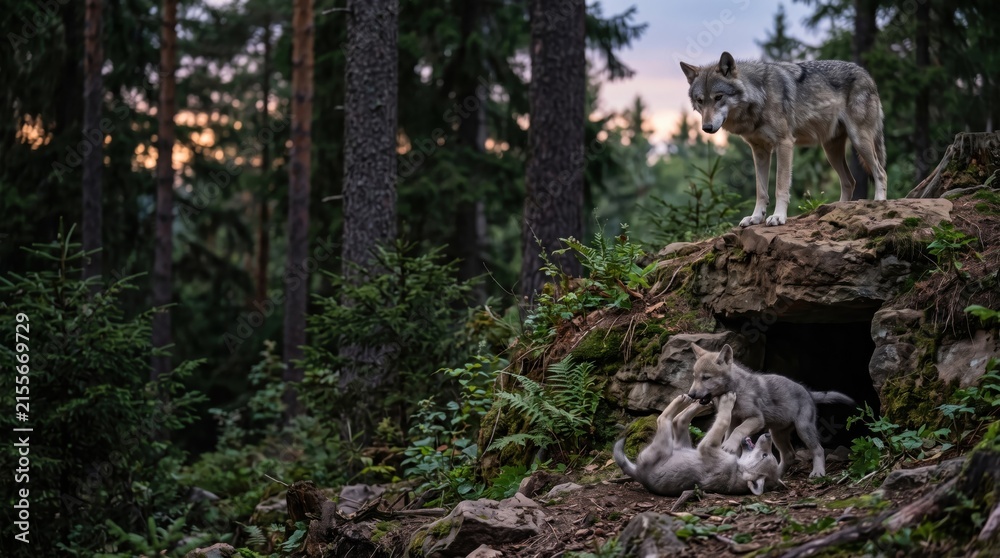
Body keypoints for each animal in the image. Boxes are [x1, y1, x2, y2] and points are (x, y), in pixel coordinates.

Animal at [613, 392, 782, 496]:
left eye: (765, 455)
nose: (768, 435)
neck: (738, 469)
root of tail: (638, 473)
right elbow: (726, 422)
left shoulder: (707, 445)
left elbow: (723, 420)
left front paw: (727, 402)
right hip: (681, 444)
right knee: (679, 420)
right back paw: (699, 404)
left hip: (664, 445)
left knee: (665, 418)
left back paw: (685, 401)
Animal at [680, 52, 888, 227]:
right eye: (700, 101)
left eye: (719, 97)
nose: (706, 128)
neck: (760, 96)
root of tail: (866, 73)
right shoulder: (759, 151)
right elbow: (761, 190)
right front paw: (756, 217)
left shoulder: (784, 144)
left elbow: (780, 186)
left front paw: (778, 217)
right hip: (831, 151)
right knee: (850, 181)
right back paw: (836, 209)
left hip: (859, 140)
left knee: (880, 172)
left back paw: (879, 202)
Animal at [686, 343, 855, 478]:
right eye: (694, 377)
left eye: (706, 378)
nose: (691, 395)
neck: (736, 389)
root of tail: (809, 392)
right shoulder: (733, 421)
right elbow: (731, 435)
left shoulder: (756, 419)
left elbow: (739, 430)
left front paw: (728, 447)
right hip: (777, 434)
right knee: (789, 455)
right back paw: (776, 475)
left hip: (803, 429)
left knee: (818, 449)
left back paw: (818, 472)